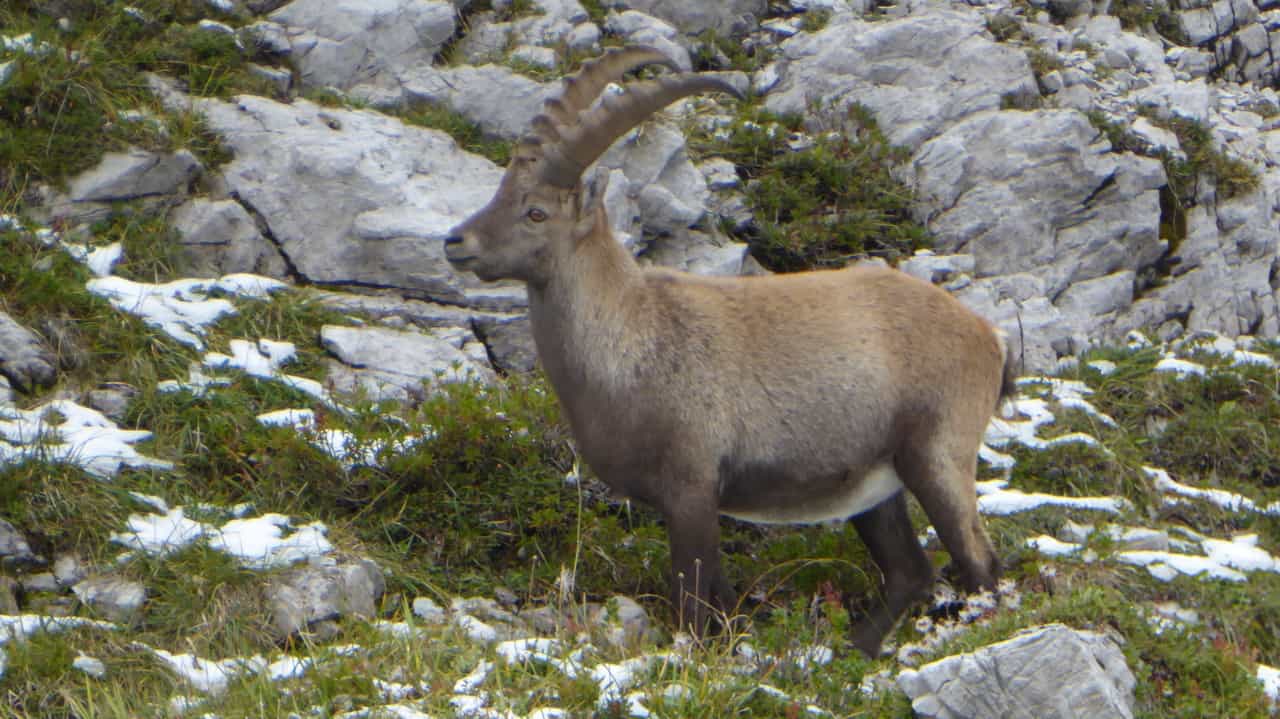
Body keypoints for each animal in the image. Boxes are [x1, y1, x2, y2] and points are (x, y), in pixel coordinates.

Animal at [444, 46, 1017, 657]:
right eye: (500, 194)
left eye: (536, 212)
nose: (456, 242)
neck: (632, 334)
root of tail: (989, 336)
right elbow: (718, 602)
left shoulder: (691, 486)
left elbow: (695, 603)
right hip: (873, 485)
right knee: (910, 571)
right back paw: (848, 651)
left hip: (938, 453)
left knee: (980, 564)